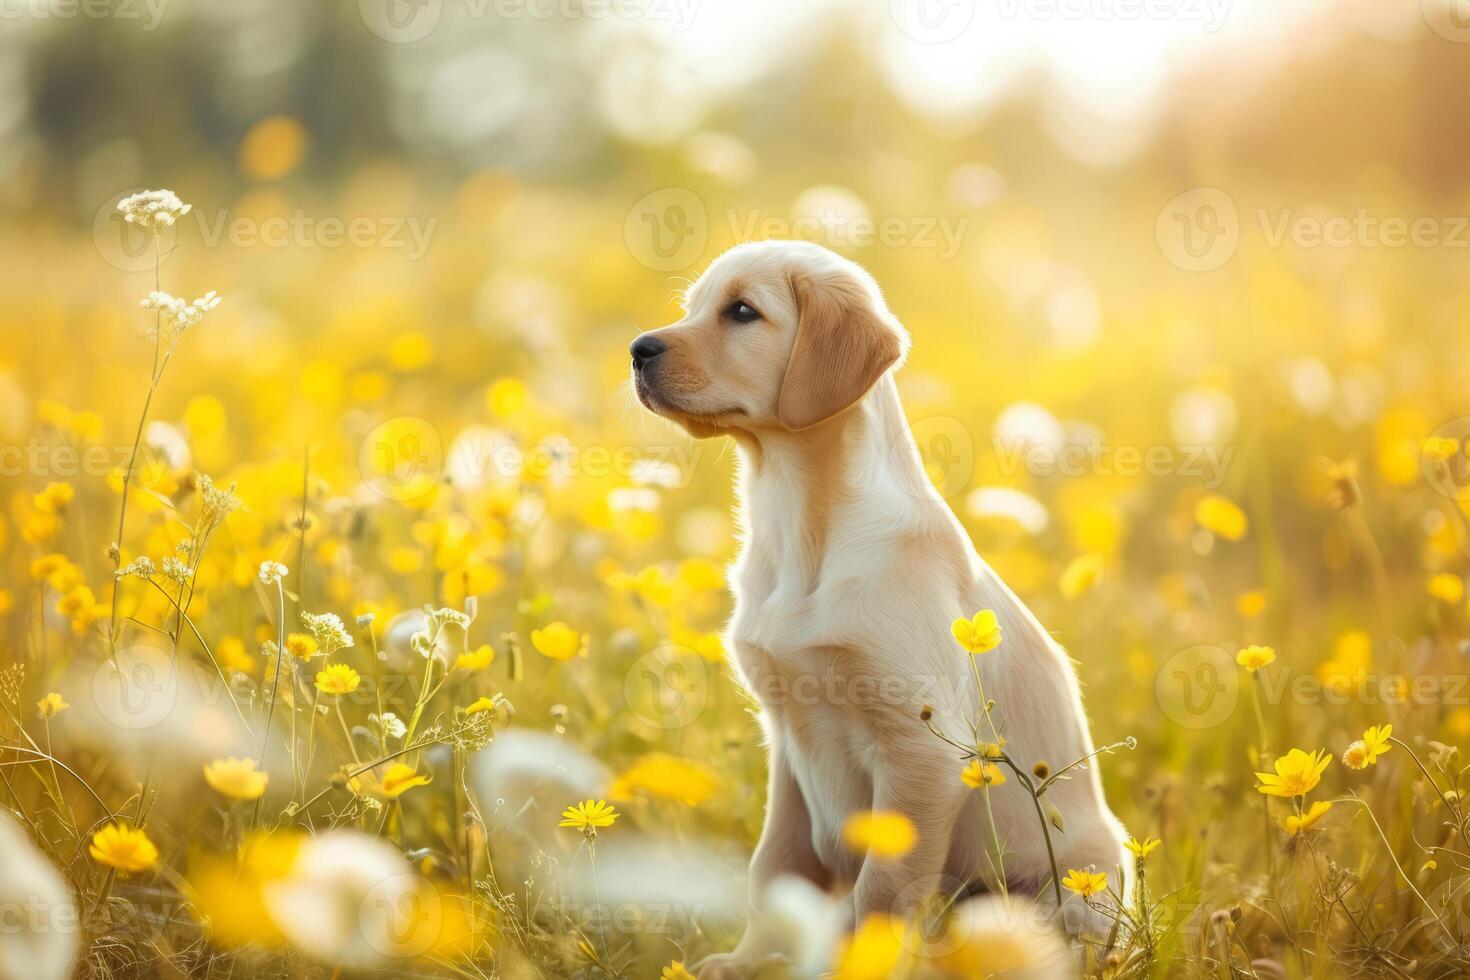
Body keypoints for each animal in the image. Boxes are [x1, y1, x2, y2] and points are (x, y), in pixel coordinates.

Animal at [629, 240, 1123, 969]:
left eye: (742, 312)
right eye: (692, 306)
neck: (799, 523)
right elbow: (773, 869)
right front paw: (749, 962)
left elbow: (881, 893)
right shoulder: (785, 740)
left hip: (1084, 880)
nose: (637, 349)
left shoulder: (922, 753)